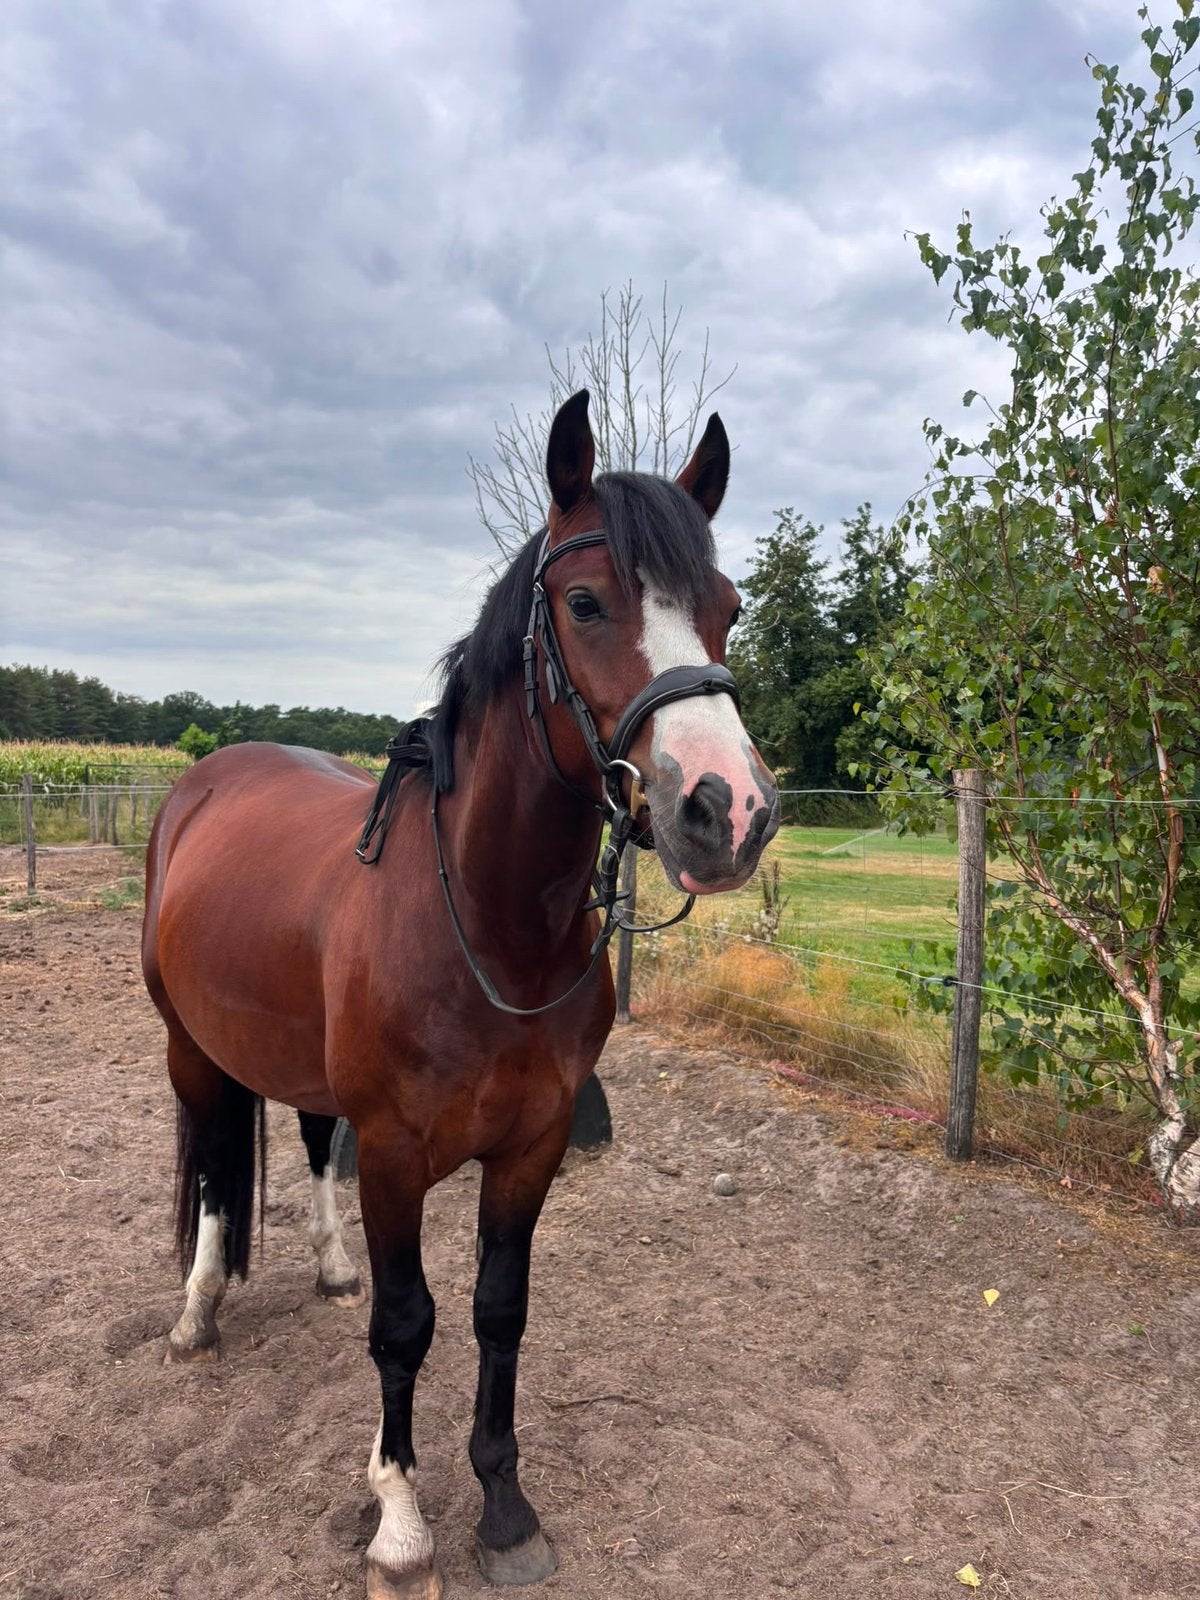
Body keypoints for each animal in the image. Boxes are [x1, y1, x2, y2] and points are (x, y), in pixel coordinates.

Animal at [141, 390, 780, 1599]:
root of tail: (204, 780)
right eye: (585, 601)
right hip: (189, 1050)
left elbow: (497, 1312)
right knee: (208, 1167)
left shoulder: (531, 1147)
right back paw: (198, 1313)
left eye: (727, 608)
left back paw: (328, 1264)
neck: (487, 929)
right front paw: (399, 1518)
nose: (730, 810)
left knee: (308, 1142)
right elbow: (408, 1326)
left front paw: (504, 1504)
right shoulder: (396, 1156)